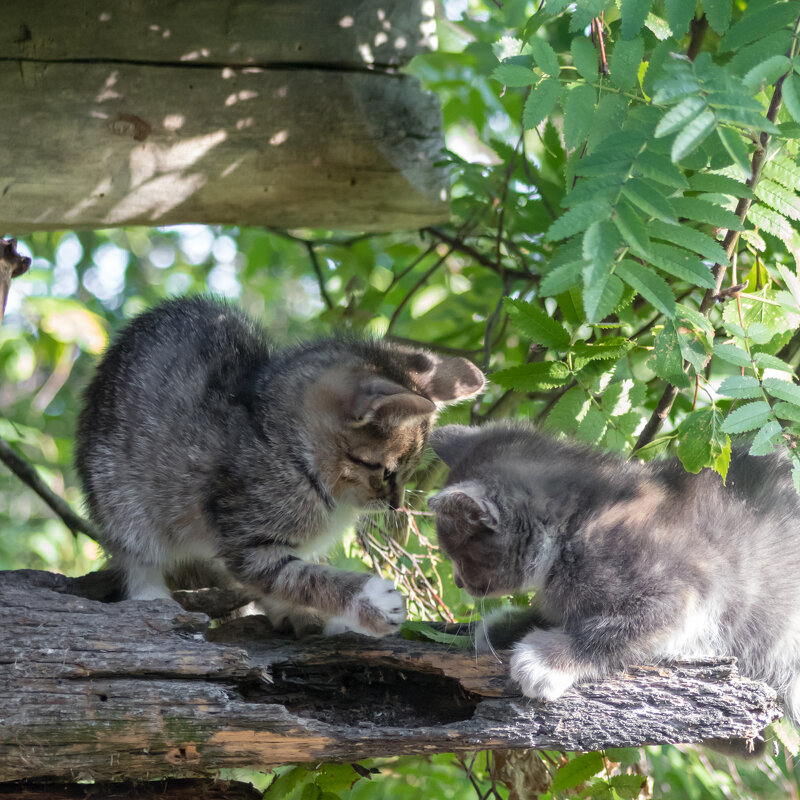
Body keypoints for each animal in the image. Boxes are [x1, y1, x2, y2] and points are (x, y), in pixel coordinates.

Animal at [75, 296, 482, 636]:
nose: (396, 504)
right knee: (137, 556)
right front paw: (369, 600)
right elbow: (300, 576)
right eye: (386, 471)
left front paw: (309, 613)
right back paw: (151, 595)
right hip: (119, 495)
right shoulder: (245, 538)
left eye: (408, 473)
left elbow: (282, 579)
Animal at [428, 422, 800, 728]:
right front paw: (508, 627)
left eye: (459, 555)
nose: (459, 582)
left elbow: (612, 629)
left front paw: (546, 660)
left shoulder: (688, 596)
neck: (579, 520)